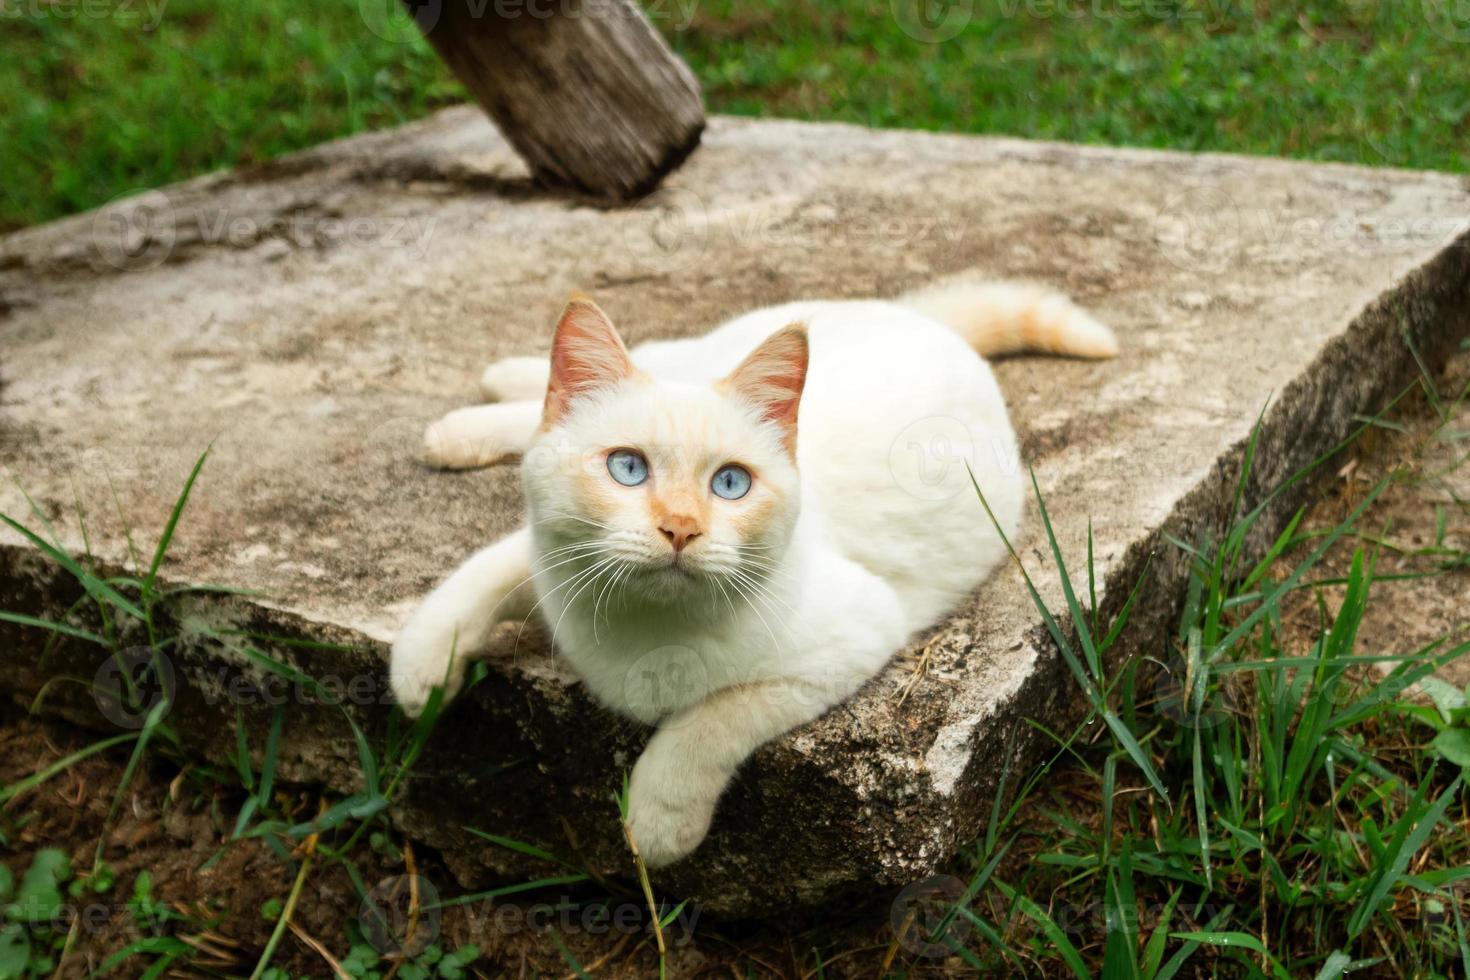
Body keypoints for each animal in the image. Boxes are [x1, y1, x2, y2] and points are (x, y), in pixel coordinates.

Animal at [391, 276, 1111, 863]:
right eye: (627, 468)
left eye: (731, 484)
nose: (681, 527)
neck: (642, 625)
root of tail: (923, 322)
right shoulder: (554, 549)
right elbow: (483, 572)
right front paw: (421, 669)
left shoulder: (849, 642)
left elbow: (712, 720)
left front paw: (659, 818)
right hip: (706, 349)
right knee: (617, 371)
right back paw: (481, 404)